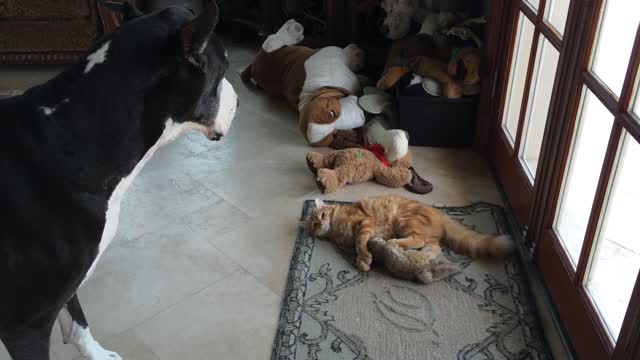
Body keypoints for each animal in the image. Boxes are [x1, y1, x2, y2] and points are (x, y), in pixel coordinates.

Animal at [304, 195, 516, 272]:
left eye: (322, 215)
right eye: (314, 223)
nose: (320, 223)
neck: (337, 228)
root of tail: (441, 215)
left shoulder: (364, 223)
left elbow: (360, 243)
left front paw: (364, 259)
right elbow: (355, 247)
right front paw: (362, 260)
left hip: (405, 221)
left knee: (417, 240)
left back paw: (395, 244)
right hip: (427, 238)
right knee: (432, 248)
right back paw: (417, 257)